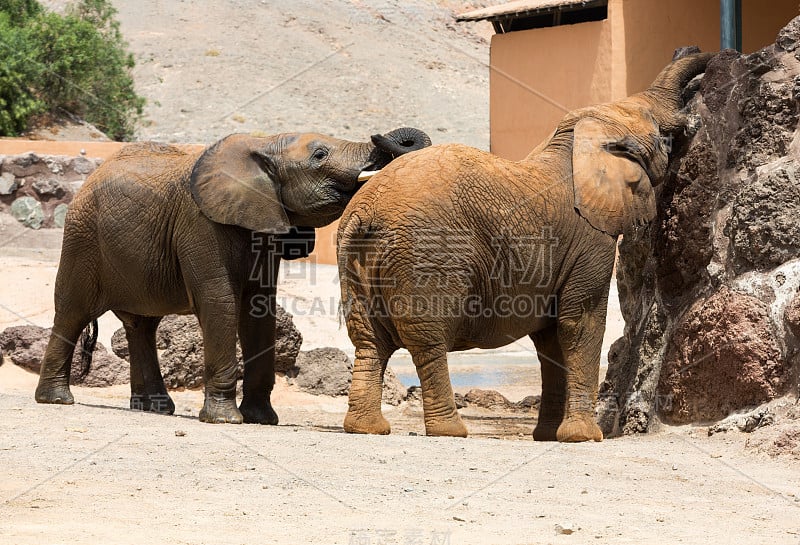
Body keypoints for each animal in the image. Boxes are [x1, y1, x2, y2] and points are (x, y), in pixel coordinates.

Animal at [34, 125, 432, 422]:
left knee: (140, 327)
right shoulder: (200, 223)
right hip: (82, 238)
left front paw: (261, 419)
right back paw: (57, 400)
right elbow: (219, 301)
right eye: (319, 155)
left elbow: (260, 308)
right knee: (72, 312)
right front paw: (225, 420)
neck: (263, 144)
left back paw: (154, 409)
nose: (381, 138)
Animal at [336, 53, 712, 440]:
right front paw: (584, 437)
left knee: (368, 340)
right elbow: (581, 324)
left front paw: (547, 435)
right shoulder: (591, 239)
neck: (575, 143)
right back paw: (450, 430)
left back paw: (366, 428)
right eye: (661, 135)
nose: (698, 56)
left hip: (357, 258)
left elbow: (550, 341)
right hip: (427, 256)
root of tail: (366, 210)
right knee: (428, 341)